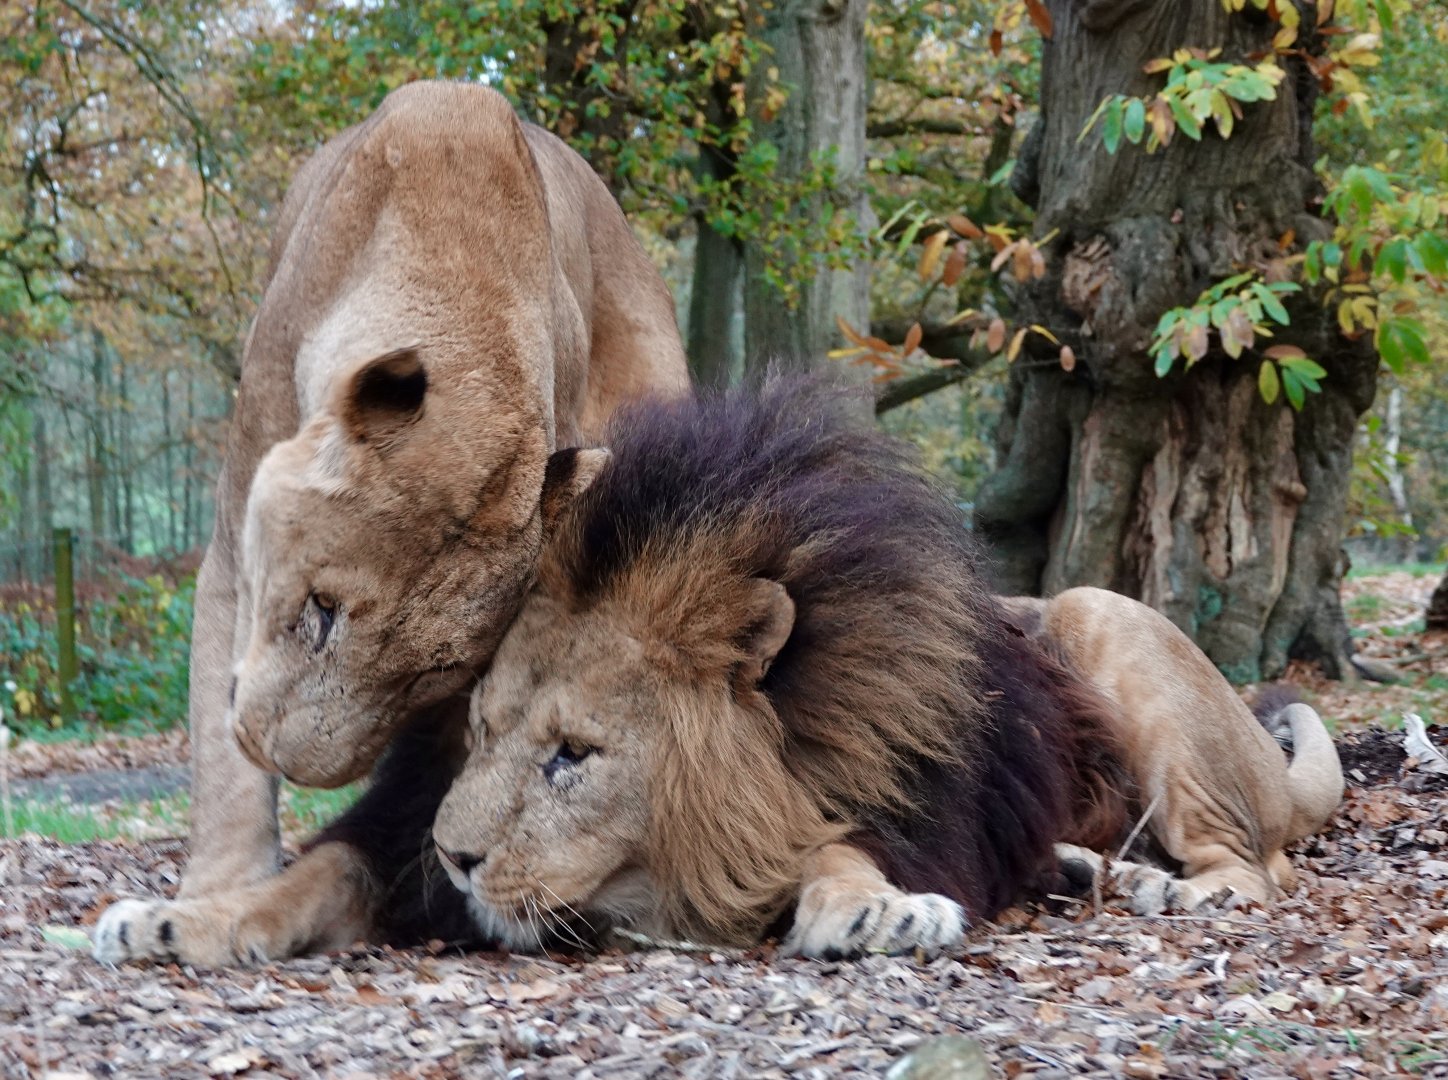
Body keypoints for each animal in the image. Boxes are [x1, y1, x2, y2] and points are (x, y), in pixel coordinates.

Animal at [92, 81, 688, 966]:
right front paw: (211, 896)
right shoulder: (234, 549)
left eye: (427, 678)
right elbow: (220, 758)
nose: (286, 757)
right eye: (321, 610)